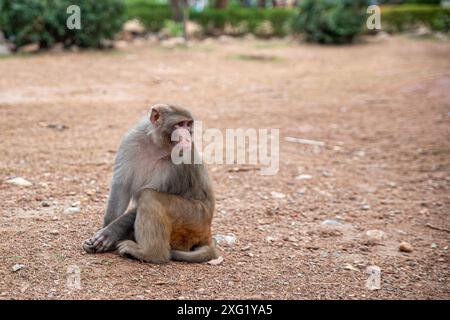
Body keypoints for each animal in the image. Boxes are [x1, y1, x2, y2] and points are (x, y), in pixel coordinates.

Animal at [84, 104, 220, 264]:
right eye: (180, 124)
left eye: (188, 124)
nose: (187, 134)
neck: (156, 145)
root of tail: (207, 231)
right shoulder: (130, 141)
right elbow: (121, 188)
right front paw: (106, 232)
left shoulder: (180, 161)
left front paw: (110, 233)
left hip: (194, 219)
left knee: (149, 196)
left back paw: (151, 254)